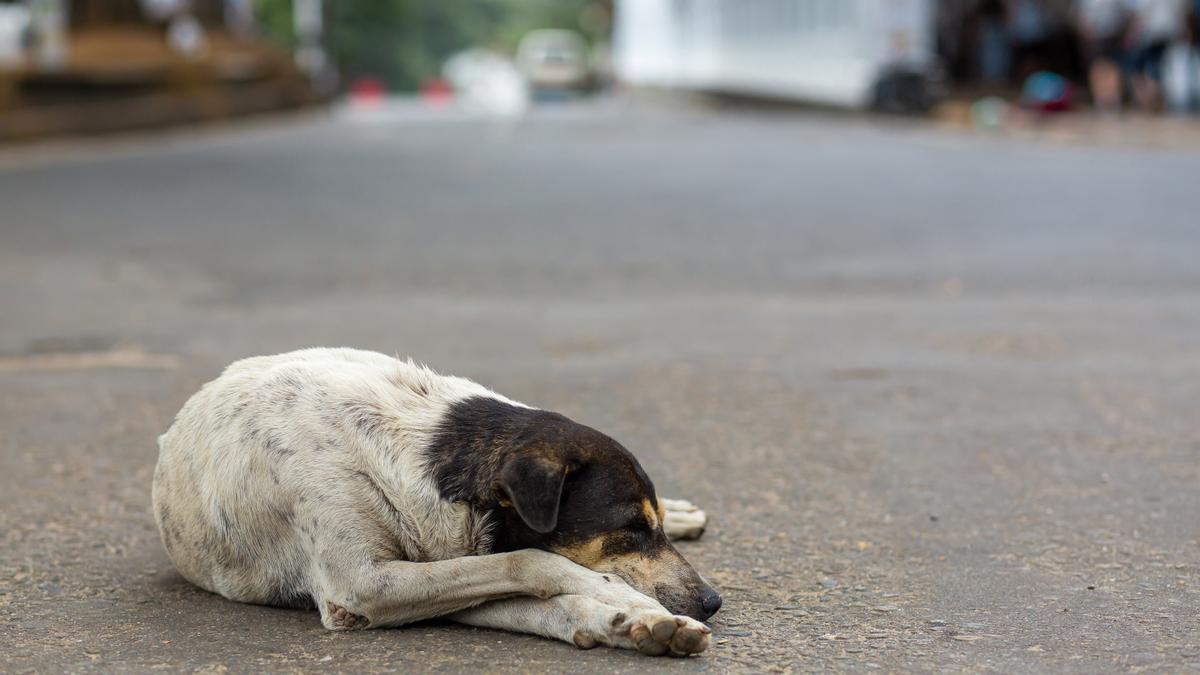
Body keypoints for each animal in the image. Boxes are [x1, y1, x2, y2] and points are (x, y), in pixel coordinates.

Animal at [158, 348, 720, 653]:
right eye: (630, 529)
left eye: (648, 526)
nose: (712, 601)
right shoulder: (362, 588)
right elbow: (532, 563)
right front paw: (624, 603)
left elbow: (537, 593)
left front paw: (637, 622)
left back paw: (683, 513)